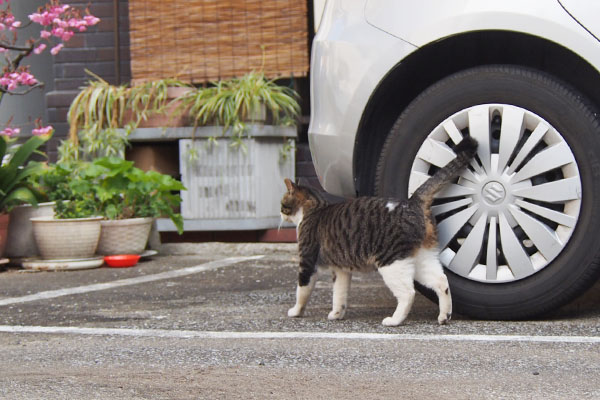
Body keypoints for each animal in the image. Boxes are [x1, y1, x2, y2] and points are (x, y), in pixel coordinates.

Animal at [280, 136, 478, 326]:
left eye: (282, 205)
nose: (280, 214)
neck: (314, 209)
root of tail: (412, 202)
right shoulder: (341, 269)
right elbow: (339, 295)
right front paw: (336, 314)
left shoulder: (307, 262)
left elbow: (302, 291)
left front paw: (295, 312)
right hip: (421, 258)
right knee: (441, 281)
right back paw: (445, 316)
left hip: (392, 263)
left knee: (408, 293)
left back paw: (394, 321)